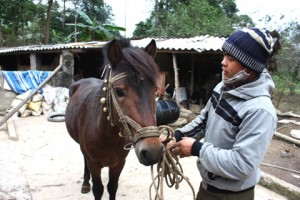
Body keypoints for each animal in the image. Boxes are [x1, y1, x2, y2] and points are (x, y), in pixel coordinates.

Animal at [65, 39, 164, 200]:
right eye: (118, 91)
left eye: (155, 91)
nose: (152, 151)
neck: (106, 135)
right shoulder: (94, 164)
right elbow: (98, 189)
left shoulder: (118, 163)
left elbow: (112, 187)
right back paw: (85, 183)